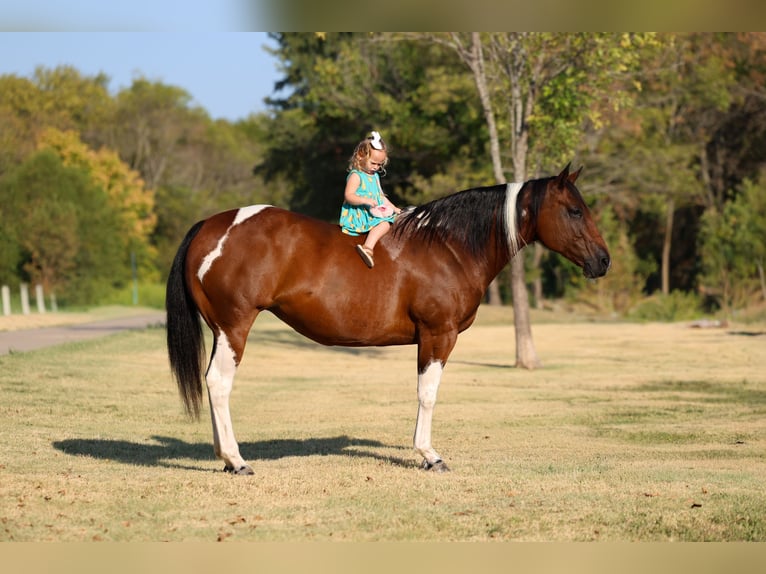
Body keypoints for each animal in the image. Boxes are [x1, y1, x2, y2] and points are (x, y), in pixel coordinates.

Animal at [165, 164, 610, 475]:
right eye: (574, 210)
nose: (603, 260)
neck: (448, 247)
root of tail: (209, 226)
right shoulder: (438, 335)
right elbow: (427, 394)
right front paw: (429, 455)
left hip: (221, 330)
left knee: (212, 383)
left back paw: (225, 458)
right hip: (234, 327)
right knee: (219, 384)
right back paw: (237, 459)